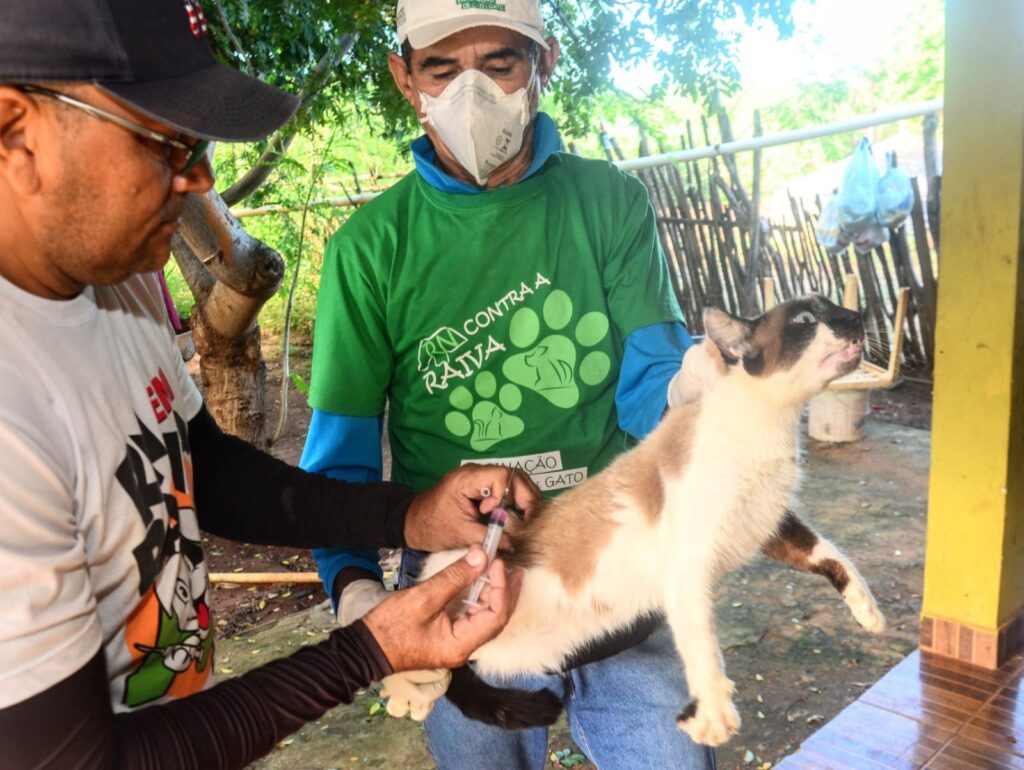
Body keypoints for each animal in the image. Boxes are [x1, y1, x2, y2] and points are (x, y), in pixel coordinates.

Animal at [419, 294, 887, 747]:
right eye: (807, 319)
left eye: (836, 307)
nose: (855, 315)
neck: (774, 424)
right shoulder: (690, 565)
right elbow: (704, 648)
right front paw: (713, 716)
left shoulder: (769, 525)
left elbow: (833, 555)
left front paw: (869, 613)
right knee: (445, 669)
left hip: (518, 654)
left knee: (459, 667)